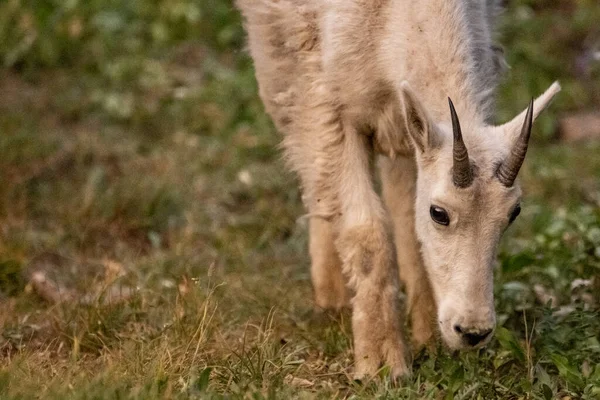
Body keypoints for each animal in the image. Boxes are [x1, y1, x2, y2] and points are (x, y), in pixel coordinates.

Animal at [236, 0, 564, 378]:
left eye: (513, 213)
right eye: (440, 213)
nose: (472, 332)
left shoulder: (410, 133)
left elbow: (409, 226)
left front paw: (429, 343)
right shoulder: (330, 108)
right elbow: (366, 231)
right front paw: (382, 364)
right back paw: (331, 296)